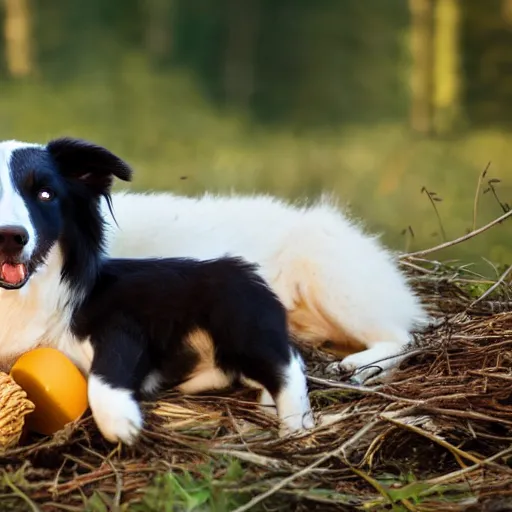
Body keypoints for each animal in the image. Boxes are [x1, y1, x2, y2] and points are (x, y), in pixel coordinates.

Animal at [0, 137, 314, 444]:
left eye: (45, 194)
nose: (10, 237)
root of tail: (250, 272)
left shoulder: (121, 323)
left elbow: (104, 373)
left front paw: (122, 423)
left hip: (239, 322)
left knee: (287, 365)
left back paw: (294, 426)